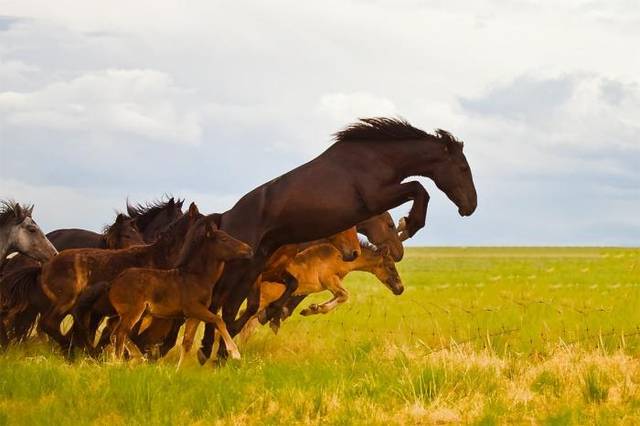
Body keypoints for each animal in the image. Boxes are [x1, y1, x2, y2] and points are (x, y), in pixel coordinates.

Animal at [109, 218, 251, 368]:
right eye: (224, 239)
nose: (249, 250)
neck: (197, 277)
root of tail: (116, 281)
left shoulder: (193, 316)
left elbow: (187, 342)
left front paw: (179, 370)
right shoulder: (194, 308)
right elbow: (218, 320)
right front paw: (235, 353)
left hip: (132, 314)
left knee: (116, 333)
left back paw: (137, 358)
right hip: (133, 312)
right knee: (120, 333)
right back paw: (118, 364)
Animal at [199, 117, 476, 362]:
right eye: (463, 168)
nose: (470, 206)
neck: (376, 158)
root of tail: (225, 218)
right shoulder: (376, 198)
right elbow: (419, 188)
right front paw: (409, 224)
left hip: (253, 266)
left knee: (229, 308)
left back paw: (218, 353)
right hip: (239, 268)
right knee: (219, 305)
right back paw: (211, 351)